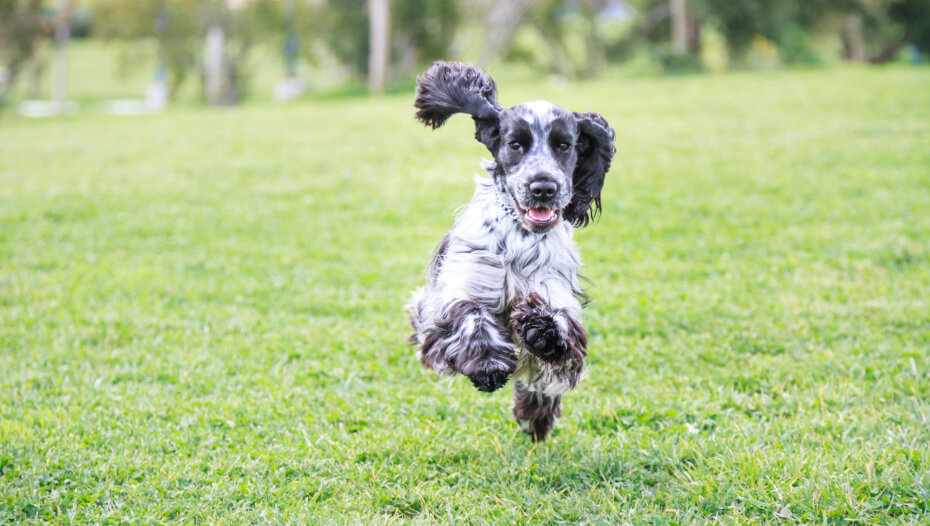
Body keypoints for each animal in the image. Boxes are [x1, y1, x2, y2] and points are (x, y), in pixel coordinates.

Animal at [402, 60, 612, 442]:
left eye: (564, 145)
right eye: (515, 144)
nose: (543, 187)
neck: (521, 235)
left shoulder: (552, 283)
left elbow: (559, 323)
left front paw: (543, 332)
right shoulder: (466, 282)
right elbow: (470, 317)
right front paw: (487, 366)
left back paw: (535, 417)